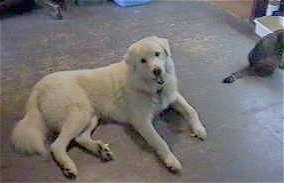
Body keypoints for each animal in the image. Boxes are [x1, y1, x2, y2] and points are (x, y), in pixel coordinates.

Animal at [11, 36, 206, 179]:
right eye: (143, 61)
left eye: (157, 54)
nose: (157, 70)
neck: (152, 88)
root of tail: (39, 86)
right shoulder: (141, 121)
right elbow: (160, 141)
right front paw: (171, 161)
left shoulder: (173, 97)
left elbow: (192, 111)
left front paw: (199, 130)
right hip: (79, 112)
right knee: (57, 145)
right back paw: (69, 167)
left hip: (91, 117)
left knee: (80, 138)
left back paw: (100, 150)